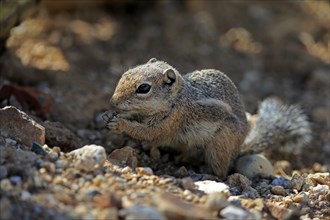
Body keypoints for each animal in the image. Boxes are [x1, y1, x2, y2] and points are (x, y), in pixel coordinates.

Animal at [106, 58, 312, 179]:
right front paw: (109, 115)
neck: (178, 97)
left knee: (222, 171)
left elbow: (149, 132)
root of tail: (238, 150)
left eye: (143, 88)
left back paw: (206, 173)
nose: (113, 101)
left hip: (220, 143)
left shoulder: (172, 121)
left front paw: (120, 124)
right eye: (125, 74)